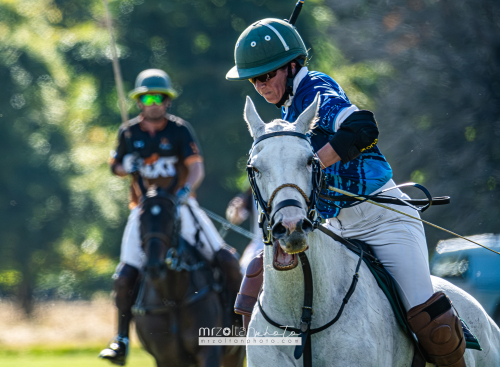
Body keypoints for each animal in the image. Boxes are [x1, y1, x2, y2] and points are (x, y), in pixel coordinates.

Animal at [131, 190, 244, 367]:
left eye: (172, 219)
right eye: (140, 220)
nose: (154, 266)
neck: (173, 299)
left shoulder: (209, 350)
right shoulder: (166, 357)